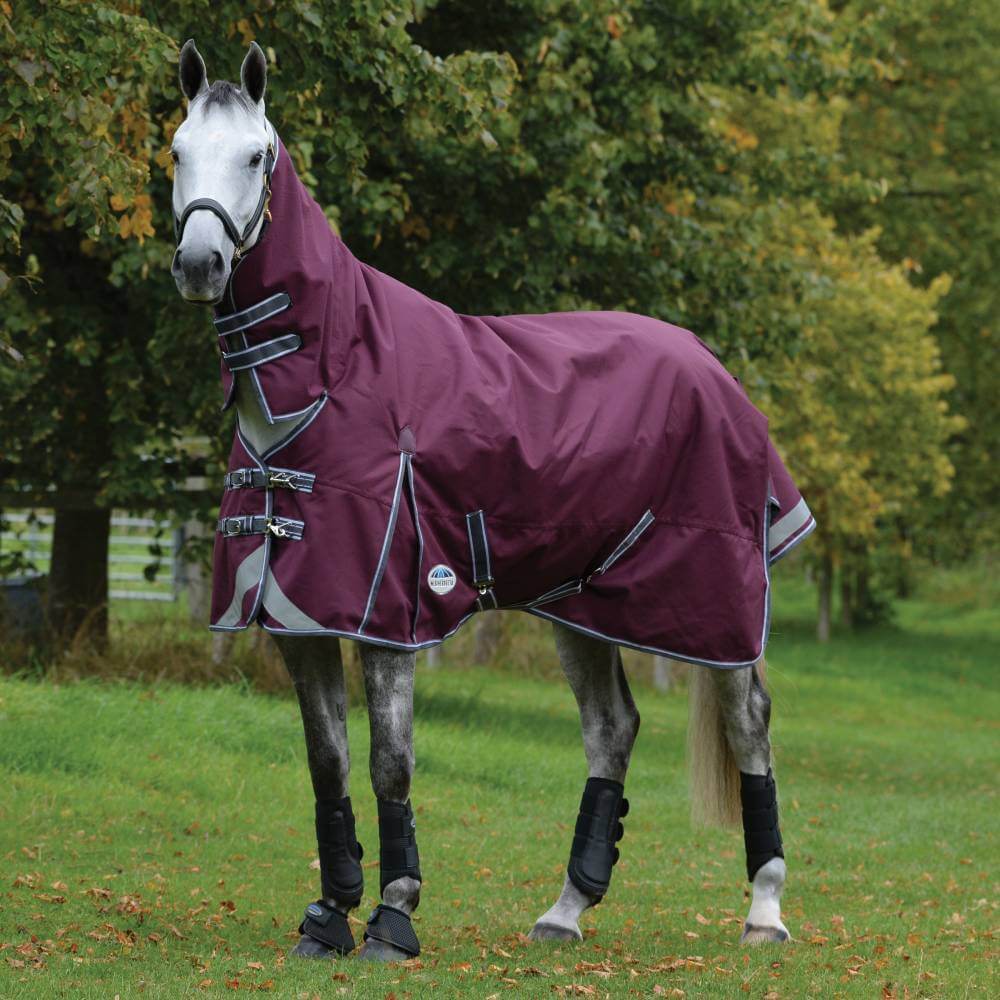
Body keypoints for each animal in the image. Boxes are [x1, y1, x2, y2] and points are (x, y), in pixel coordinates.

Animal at [169, 40, 810, 960]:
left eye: (256, 156)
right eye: (177, 151)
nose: (199, 265)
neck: (334, 375)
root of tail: (711, 367)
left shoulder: (388, 614)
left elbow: (389, 762)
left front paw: (393, 918)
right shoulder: (302, 619)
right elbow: (327, 764)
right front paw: (327, 918)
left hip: (713, 604)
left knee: (749, 721)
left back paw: (765, 911)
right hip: (581, 606)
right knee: (611, 729)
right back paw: (565, 911)